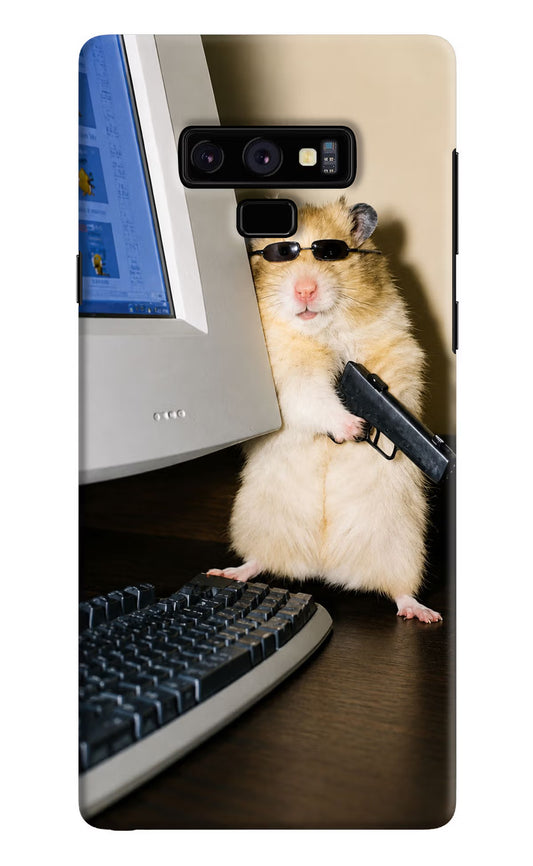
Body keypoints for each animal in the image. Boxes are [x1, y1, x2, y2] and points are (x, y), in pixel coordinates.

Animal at [208, 199, 442, 623]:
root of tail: (324, 567)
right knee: (258, 561)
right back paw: (228, 572)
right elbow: (314, 398)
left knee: (399, 590)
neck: (322, 330)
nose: (305, 289)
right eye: (280, 254)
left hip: (403, 546)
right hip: (256, 522)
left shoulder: (397, 350)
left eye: (330, 253)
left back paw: (423, 613)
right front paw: (354, 427)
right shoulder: (287, 378)